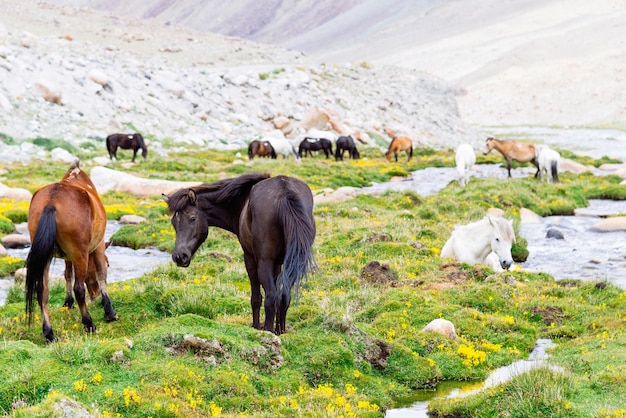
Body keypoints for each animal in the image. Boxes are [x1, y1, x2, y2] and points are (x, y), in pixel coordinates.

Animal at [25, 161, 117, 342]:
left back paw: (49, 333)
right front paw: (109, 312)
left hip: (45, 257)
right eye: (110, 264)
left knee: (42, 292)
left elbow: (68, 274)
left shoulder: (68, 257)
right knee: (79, 289)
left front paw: (68, 302)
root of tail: (51, 201)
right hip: (80, 253)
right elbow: (101, 274)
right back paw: (89, 324)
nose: (95, 296)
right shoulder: (98, 246)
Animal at [162, 171, 314, 334]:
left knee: (271, 297)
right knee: (284, 295)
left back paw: (267, 331)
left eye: (192, 218)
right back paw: (281, 332)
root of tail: (284, 191)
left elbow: (256, 298)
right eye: (173, 222)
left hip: (264, 262)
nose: (179, 257)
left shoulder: (250, 258)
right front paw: (278, 330)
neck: (241, 203)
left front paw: (256, 327)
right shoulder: (278, 263)